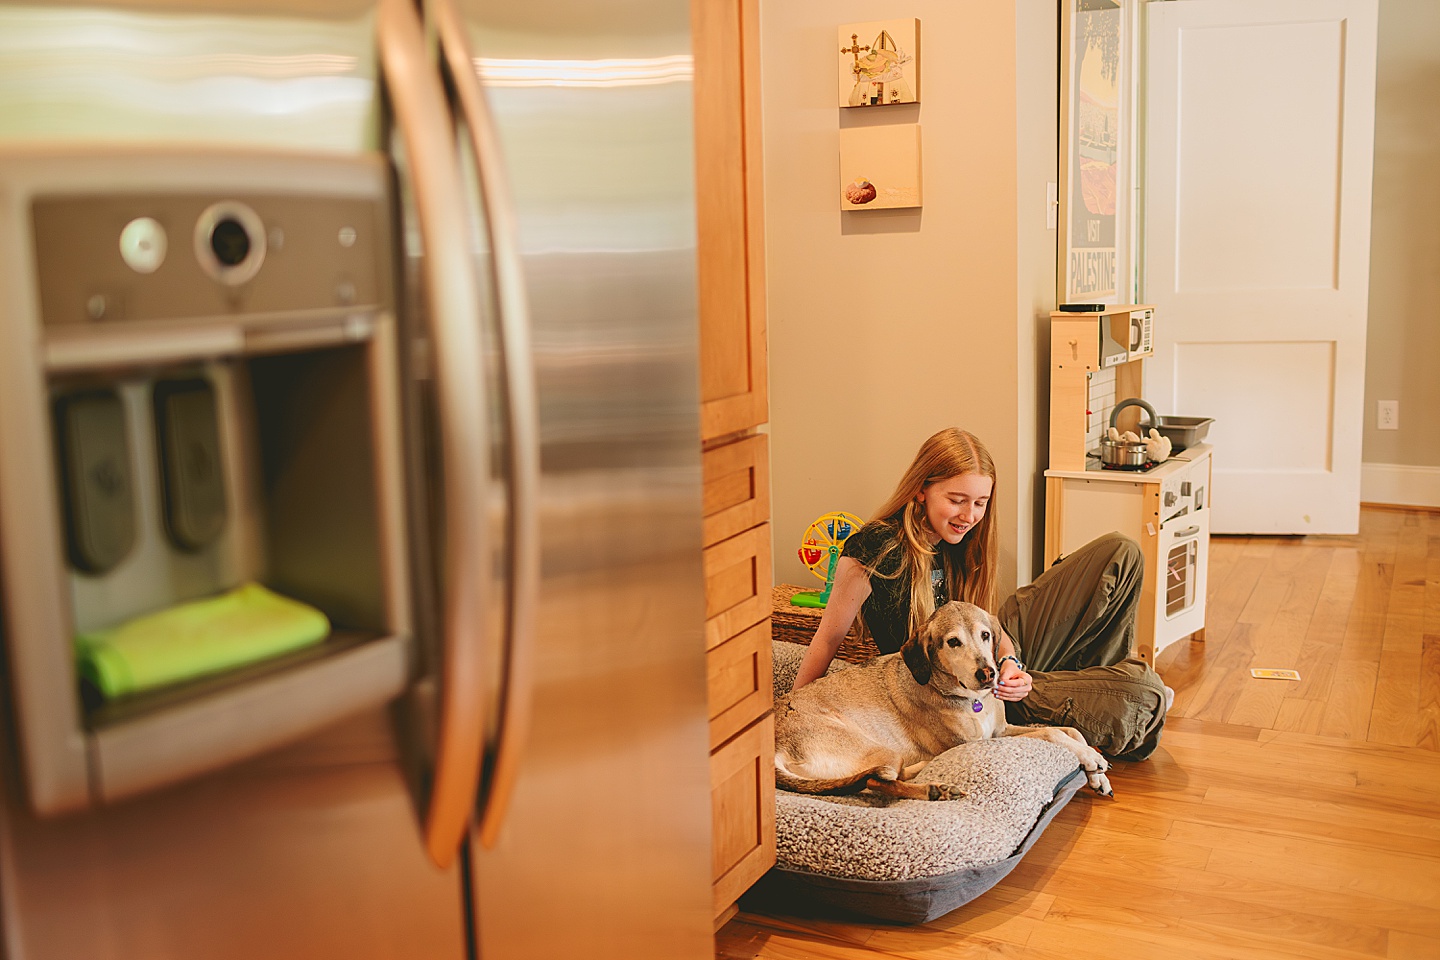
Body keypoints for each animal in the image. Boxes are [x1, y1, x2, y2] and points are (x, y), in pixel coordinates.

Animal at [777, 601, 1111, 805]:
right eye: (953, 642)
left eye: (986, 635)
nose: (988, 673)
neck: (971, 699)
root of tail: (775, 747)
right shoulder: (976, 742)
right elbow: (1052, 732)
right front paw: (1090, 759)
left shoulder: (1000, 731)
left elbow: (1071, 731)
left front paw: (1098, 774)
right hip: (874, 747)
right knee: (876, 781)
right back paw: (934, 789)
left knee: (885, 775)